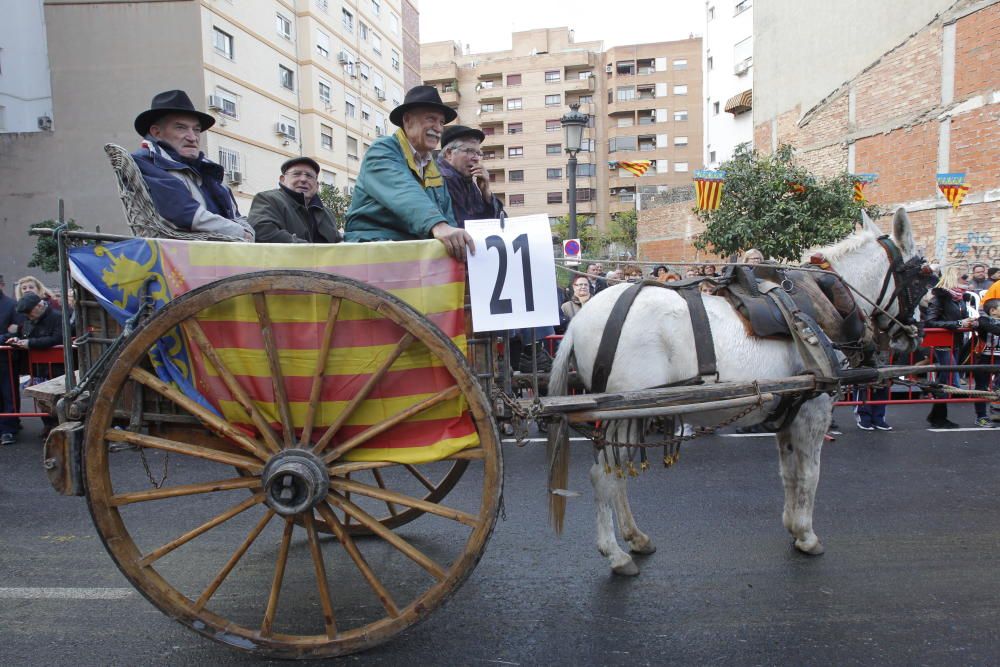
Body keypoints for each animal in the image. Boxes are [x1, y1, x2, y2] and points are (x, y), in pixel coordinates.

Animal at [548, 207, 928, 576]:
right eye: (925, 276)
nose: (915, 334)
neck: (823, 305)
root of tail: (578, 323)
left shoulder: (789, 411)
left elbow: (789, 473)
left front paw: (792, 525)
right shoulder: (814, 410)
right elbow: (810, 474)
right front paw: (807, 535)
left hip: (632, 415)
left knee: (619, 473)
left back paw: (636, 538)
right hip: (624, 412)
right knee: (603, 477)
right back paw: (615, 554)